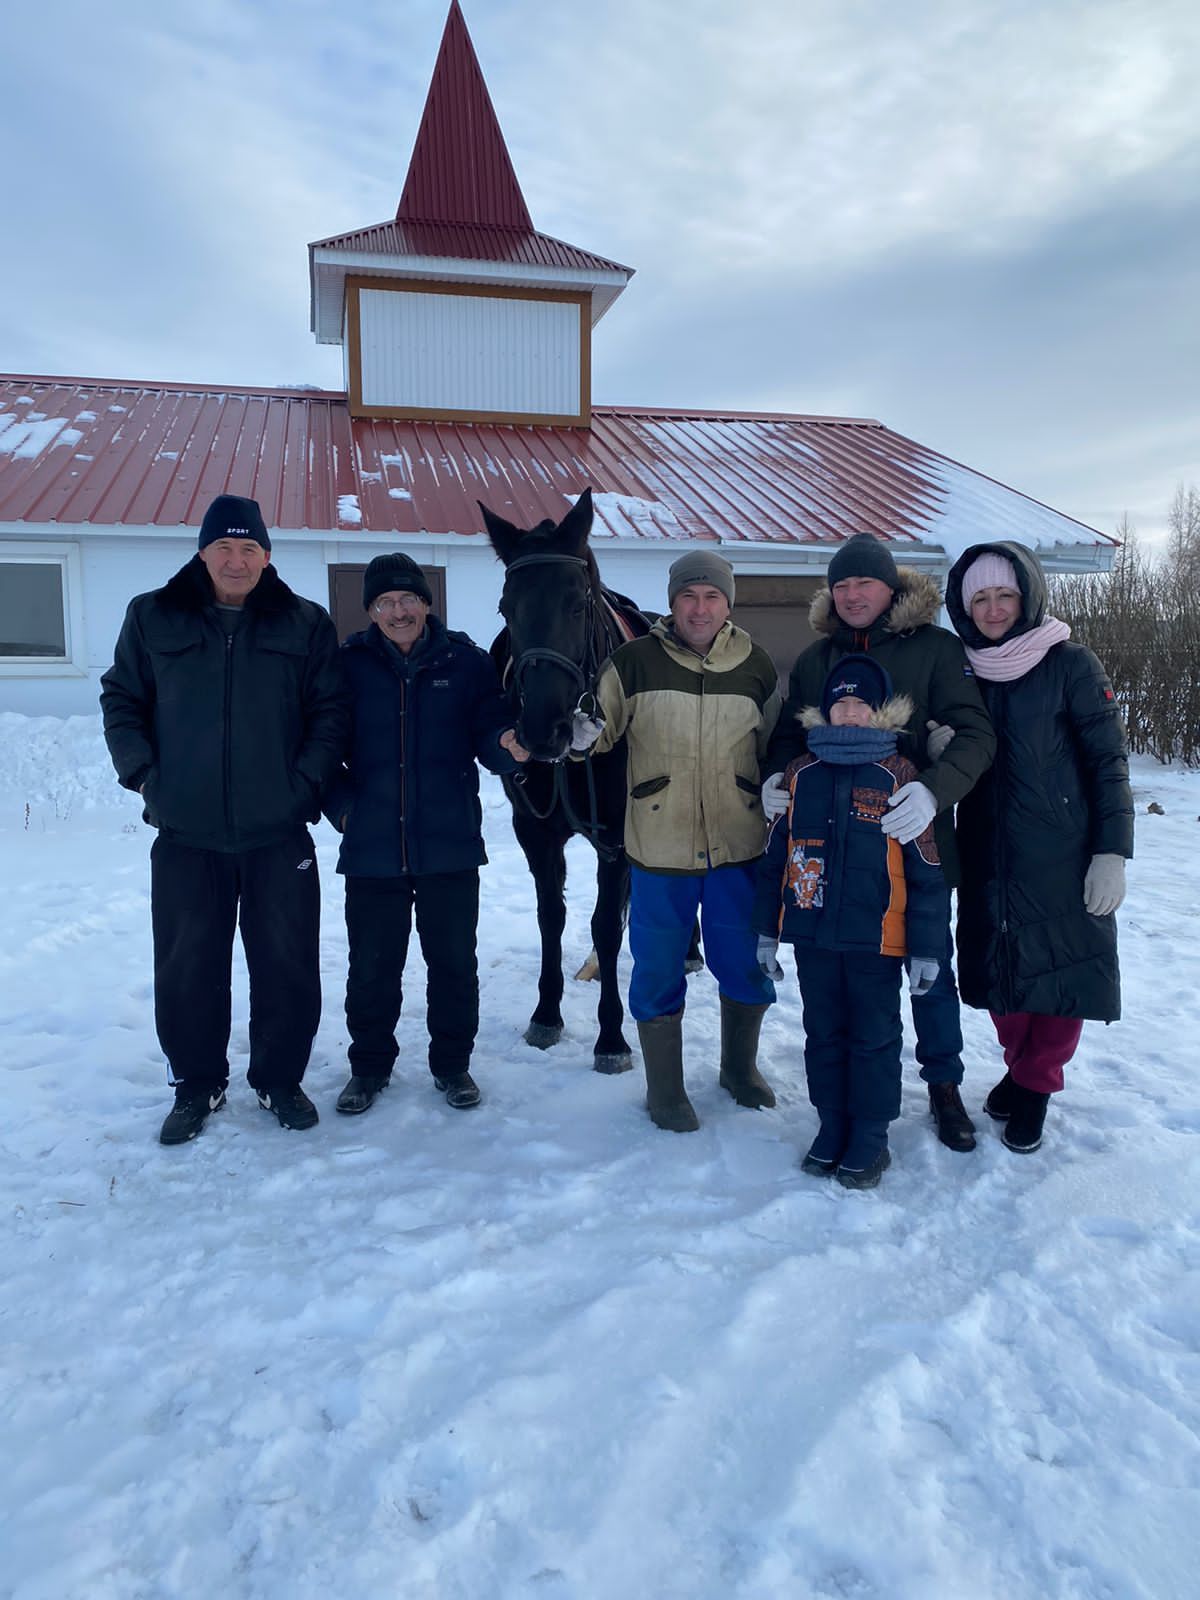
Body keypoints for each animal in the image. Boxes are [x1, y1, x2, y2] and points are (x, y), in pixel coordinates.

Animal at [483, 480, 649, 1068]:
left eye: (579, 604)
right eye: (506, 607)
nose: (541, 731)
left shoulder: (616, 837)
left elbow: (603, 924)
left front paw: (612, 1037)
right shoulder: (534, 832)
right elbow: (549, 916)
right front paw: (546, 1015)